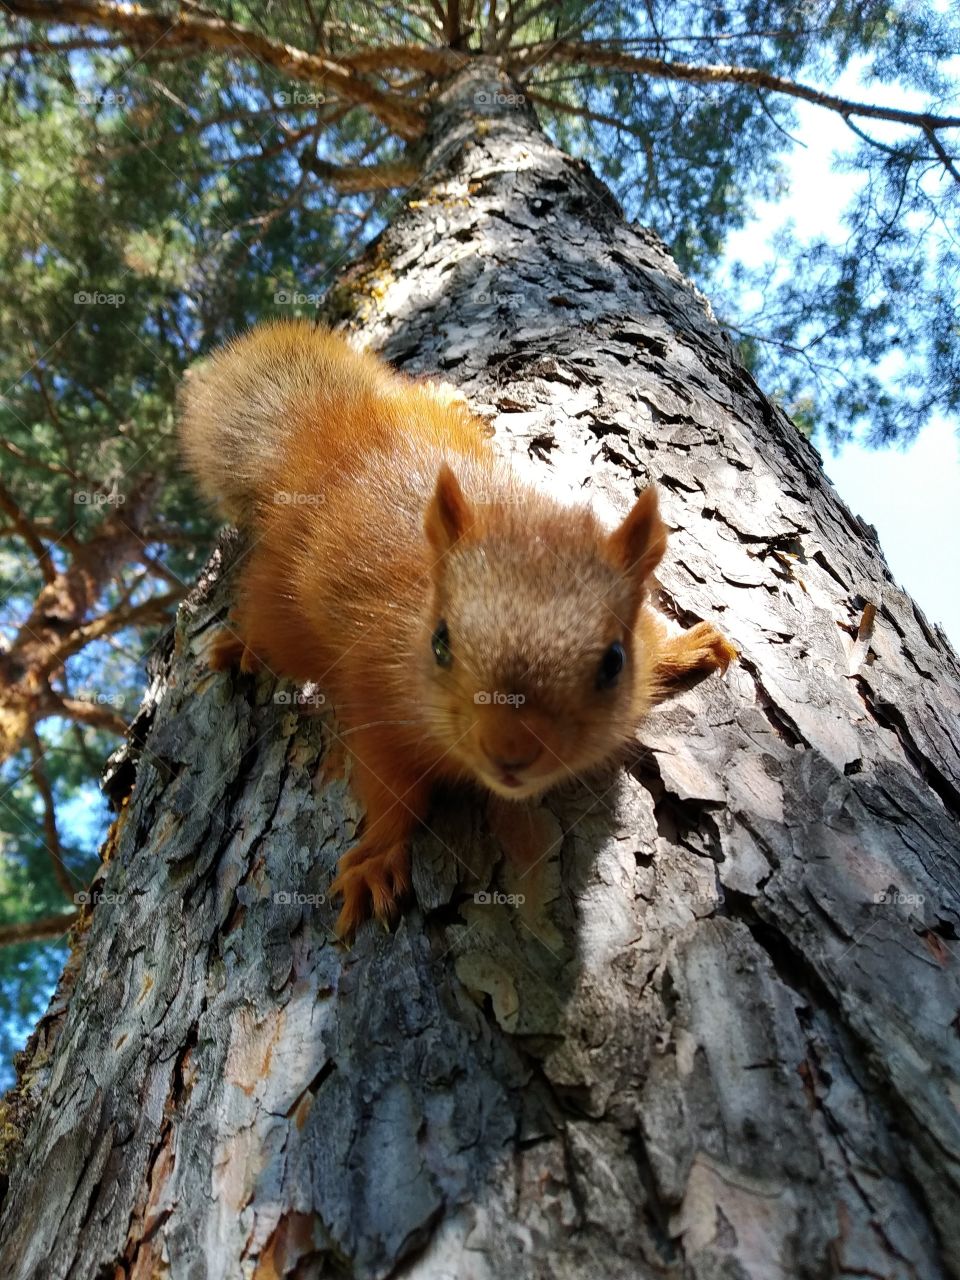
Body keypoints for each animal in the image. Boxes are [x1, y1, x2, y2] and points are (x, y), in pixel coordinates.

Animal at [179, 319, 737, 939]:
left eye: (614, 661)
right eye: (440, 643)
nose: (510, 751)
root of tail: (329, 439)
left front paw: (686, 646)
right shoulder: (375, 703)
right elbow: (391, 792)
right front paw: (376, 858)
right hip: (280, 609)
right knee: (263, 624)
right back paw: (239, 644)